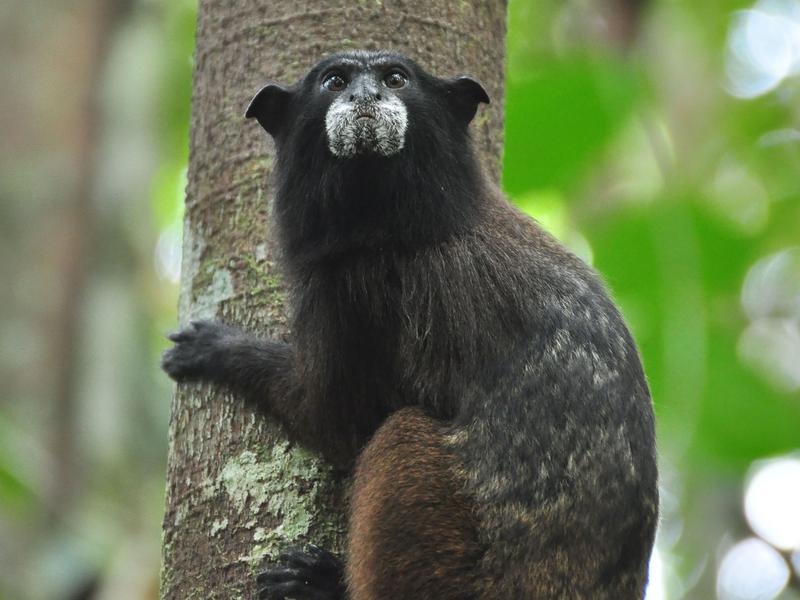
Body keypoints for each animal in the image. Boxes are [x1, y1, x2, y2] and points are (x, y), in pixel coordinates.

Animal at [161, 51, 656, 600]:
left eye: (394, 79)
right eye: (336, 82)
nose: (366, 96)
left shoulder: (353, 285)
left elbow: (335, 418)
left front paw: (221, 350)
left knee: (401, 432)